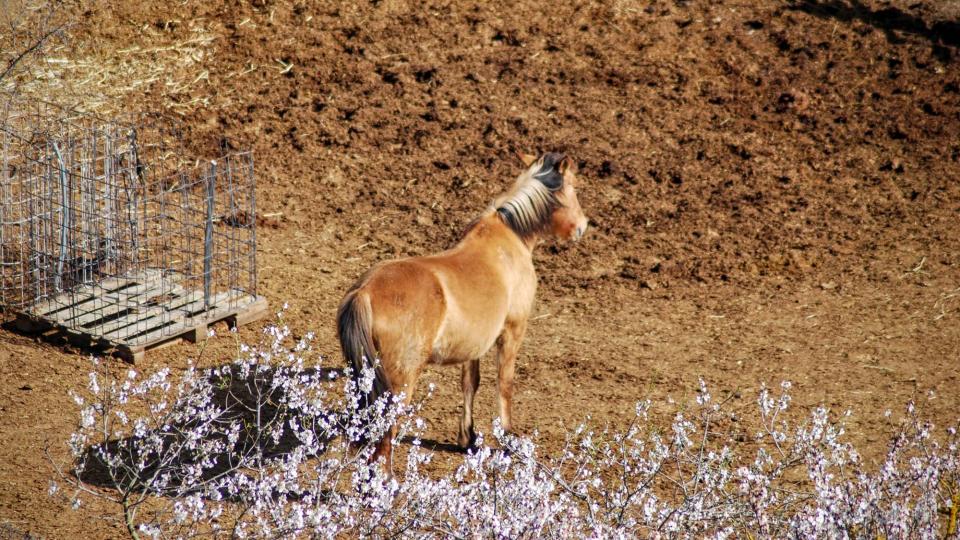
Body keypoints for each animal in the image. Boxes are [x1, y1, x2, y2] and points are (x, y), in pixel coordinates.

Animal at [338, 152, 592, 468]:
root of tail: (365, 291)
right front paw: (508, 438)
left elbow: (471, 382)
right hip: (400, 381)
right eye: (574, 186)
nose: (582, 226)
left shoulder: (475, 344)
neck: (511, 236)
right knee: (384, 441)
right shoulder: (512, 331)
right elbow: (504, 383)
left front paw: (467, 438)